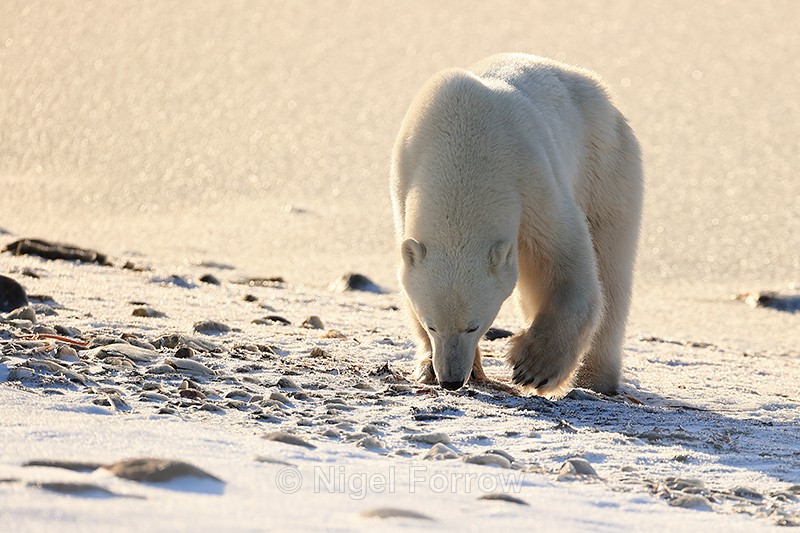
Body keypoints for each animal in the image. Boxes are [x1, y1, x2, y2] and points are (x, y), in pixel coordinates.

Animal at [390, 53, 642, 397]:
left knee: (612, 268)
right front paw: (429, 365)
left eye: (475, 325)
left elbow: (566, 262)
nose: (451, 380)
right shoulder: (404, 178)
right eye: (431, 324)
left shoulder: (532, 179)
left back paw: (596, 379)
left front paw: (533, 368)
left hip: (607, 167)